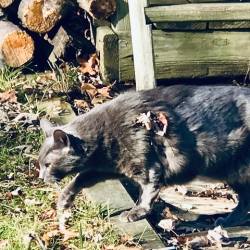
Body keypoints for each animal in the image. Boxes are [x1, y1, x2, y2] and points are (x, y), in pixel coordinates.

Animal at [38, 85, 250, 227]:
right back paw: (229, 221)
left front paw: (136, 213)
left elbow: (147, 194)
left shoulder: (149, 167)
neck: (104, 138)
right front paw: (64, 201)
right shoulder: (108, 168)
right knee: (245, 200)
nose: (40, 177)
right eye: (40, 165)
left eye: (48, 165)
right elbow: (80, 177)